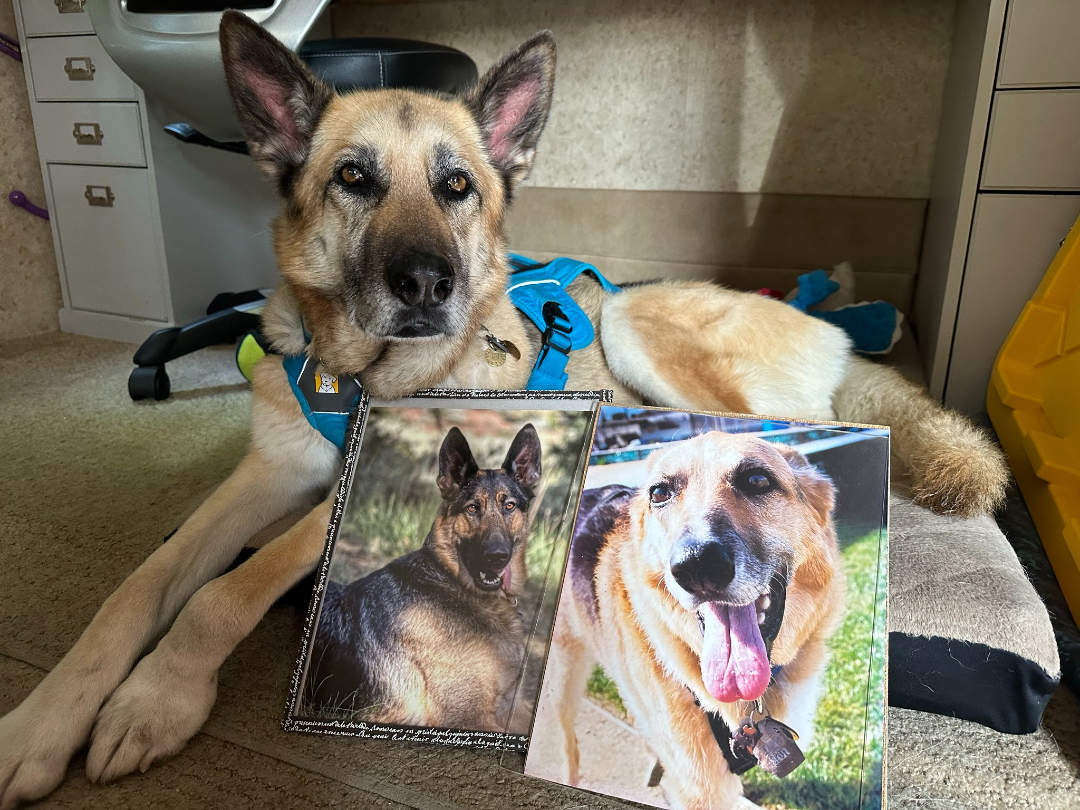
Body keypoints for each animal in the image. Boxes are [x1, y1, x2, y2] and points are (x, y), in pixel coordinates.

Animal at [304, 425, 540, 734]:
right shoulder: (469, 717)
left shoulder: (513, 706)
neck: (453, 583)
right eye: (472, 508)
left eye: (509, 506)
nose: (497, 557)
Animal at [535, 434, 846, 810]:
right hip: (565, 679)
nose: (697, 567)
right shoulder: (702, 788)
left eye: (758, 480)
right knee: (568, 744)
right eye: (659, 493)